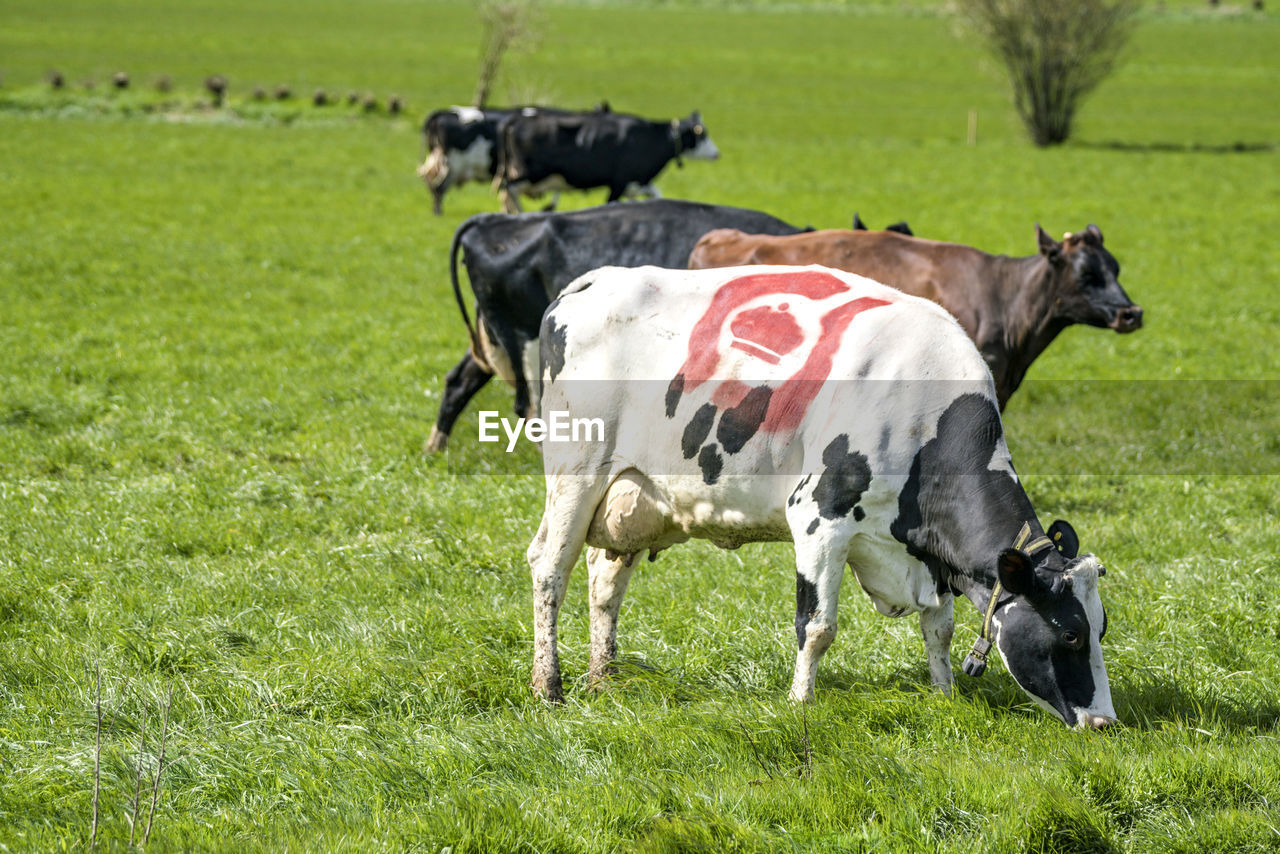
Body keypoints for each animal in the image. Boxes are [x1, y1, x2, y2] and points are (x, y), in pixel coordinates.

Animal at [424, 201, 803, 453]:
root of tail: (492, 220)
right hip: (524, 342)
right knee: (529, 408)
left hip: (494, 337)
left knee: (459, 380)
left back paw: (435, 448)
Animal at [491, 106, 721, 213]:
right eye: (702, 134)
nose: (717, 153)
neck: (652, 137)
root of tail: (515, 119)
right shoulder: (619, 182)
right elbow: (611, 203)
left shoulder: (638, 182)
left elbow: (656, 196)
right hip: (530, 172)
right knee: (507, 188)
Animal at [524, 262, 1116, 727]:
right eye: (1070, 635)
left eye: (1103, 627)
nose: (1104, 722)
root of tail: (594, 280)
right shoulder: (819, 516)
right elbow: (817, 627)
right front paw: (800, 702)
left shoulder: (928, 547)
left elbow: (940, 629)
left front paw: (945, 695)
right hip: (576, 471)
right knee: (550, 566)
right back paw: (549, 687)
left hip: (631, 497)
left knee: (604, 581)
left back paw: (604, 678)